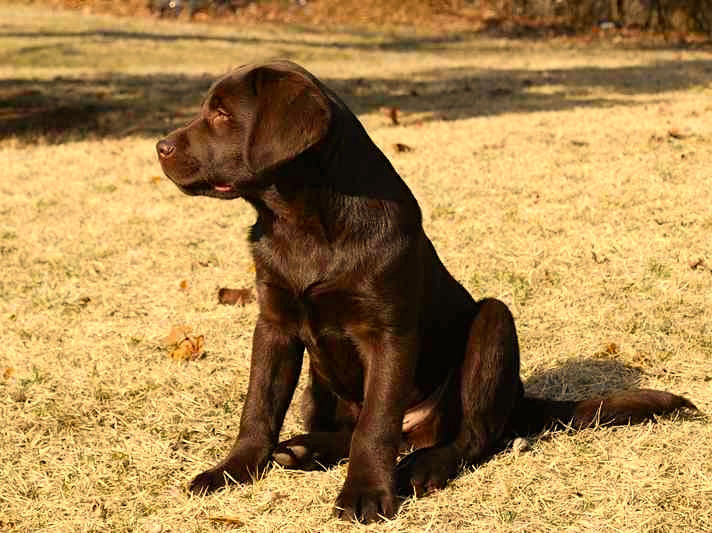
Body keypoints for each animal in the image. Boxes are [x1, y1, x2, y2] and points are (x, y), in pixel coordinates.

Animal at [156, 60, 696, 523]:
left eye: (222, 114)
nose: (160, 146)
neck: (301, 223)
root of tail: (521, 398)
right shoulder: (274, 324)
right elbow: (259, 408)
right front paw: (232, 471)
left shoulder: (388, 334)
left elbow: (376, 424)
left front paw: (365, 494)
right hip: (319, 381)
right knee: (354, 428)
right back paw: (307, 448)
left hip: (493, 324)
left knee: (472, 435)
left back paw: (425, 466)